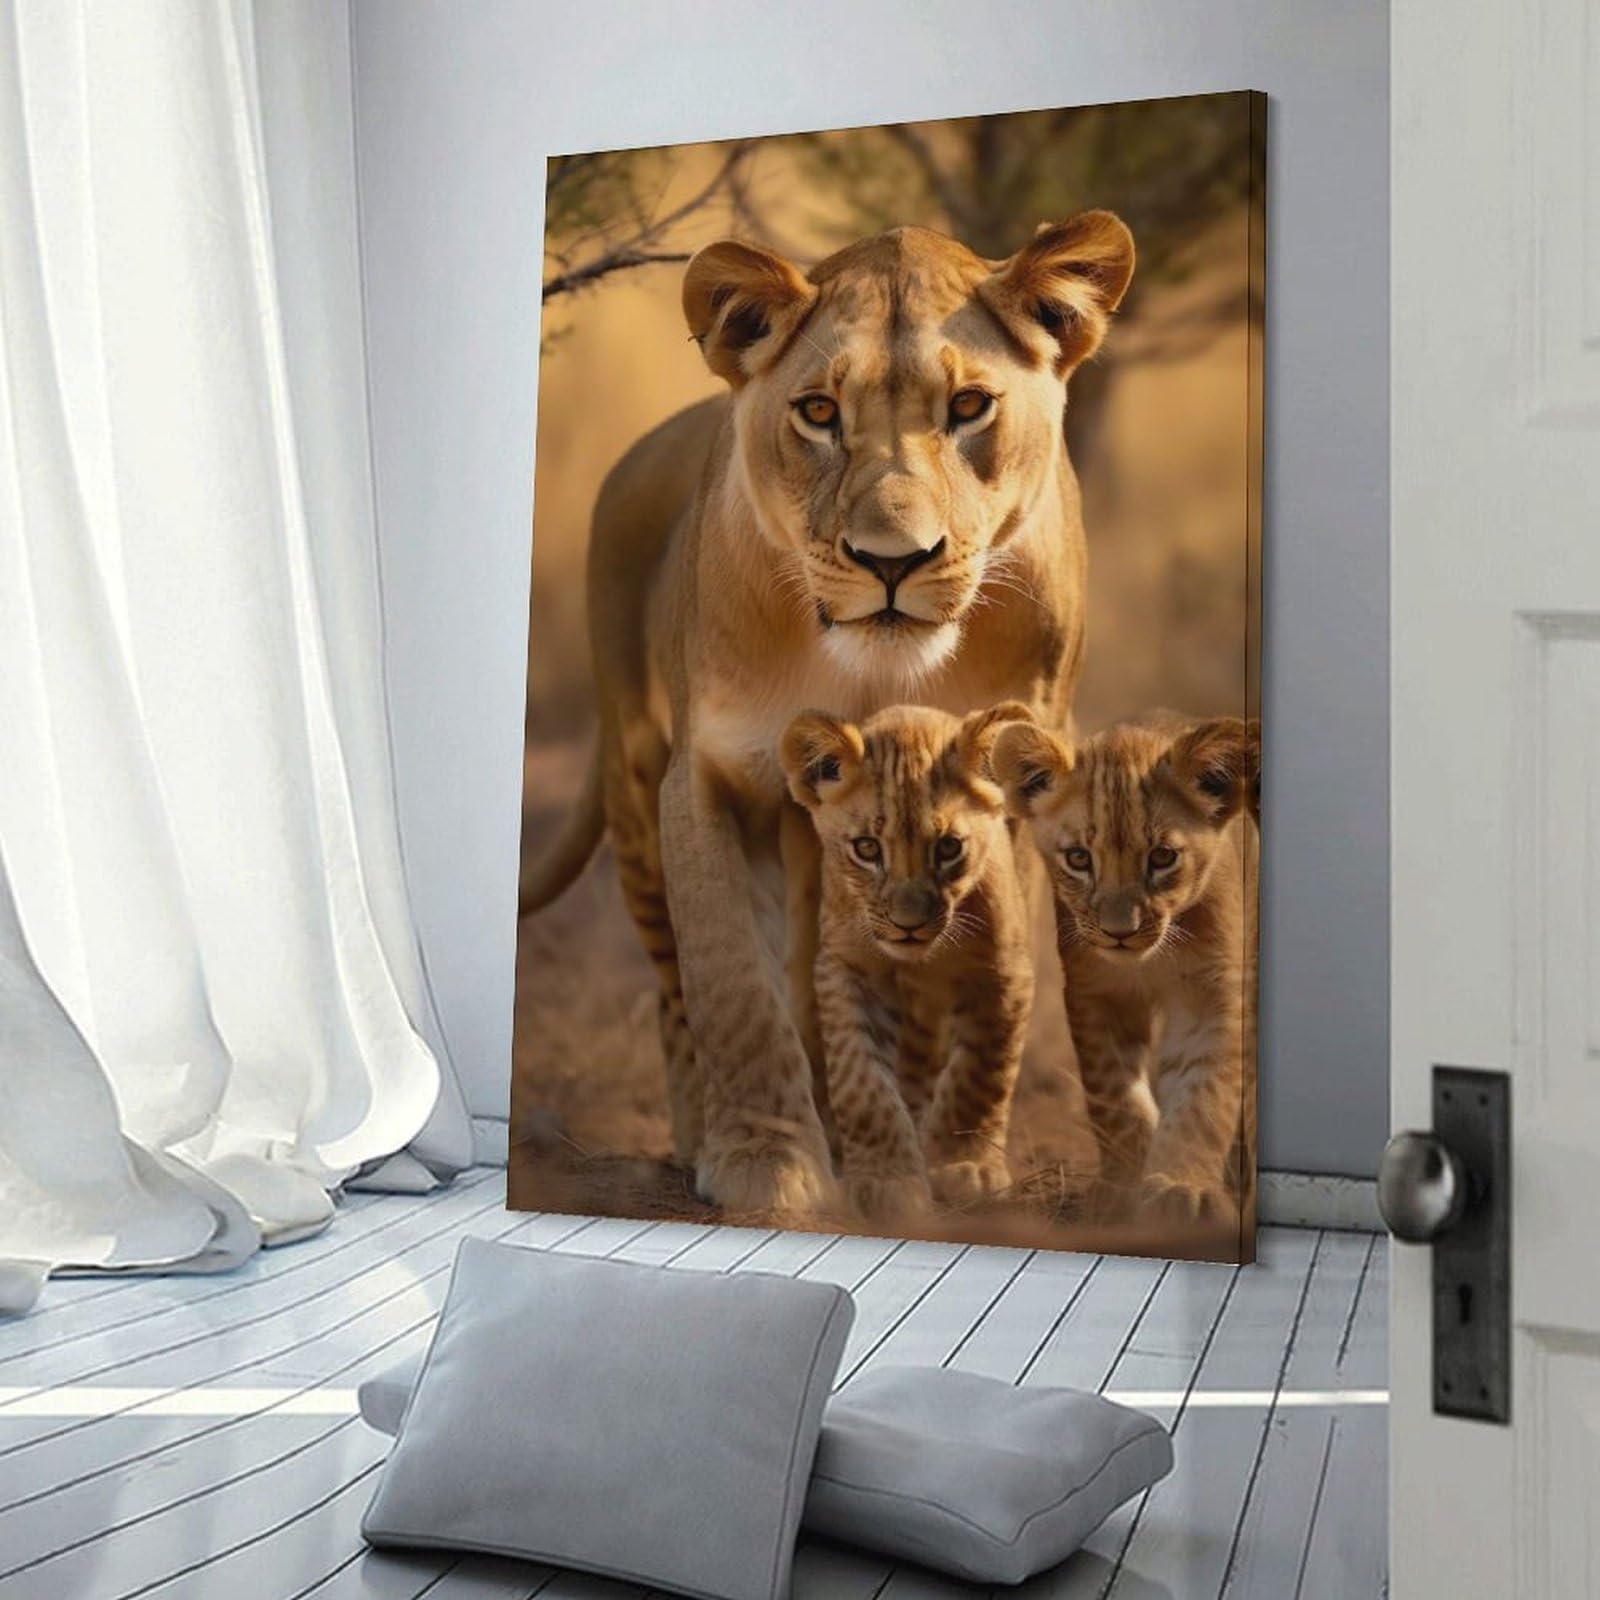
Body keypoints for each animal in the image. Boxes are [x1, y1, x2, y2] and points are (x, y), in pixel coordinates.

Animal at [523, 212, 1135, 1213]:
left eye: (970, 408)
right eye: (817, 412)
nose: (892, 559)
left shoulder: (1012, 787)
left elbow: (988, 981)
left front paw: (949, 1155)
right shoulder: (713, 776)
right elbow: (735, 982)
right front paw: (768, 1164)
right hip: (636, 788)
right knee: (674, 991)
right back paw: (702, 1137)